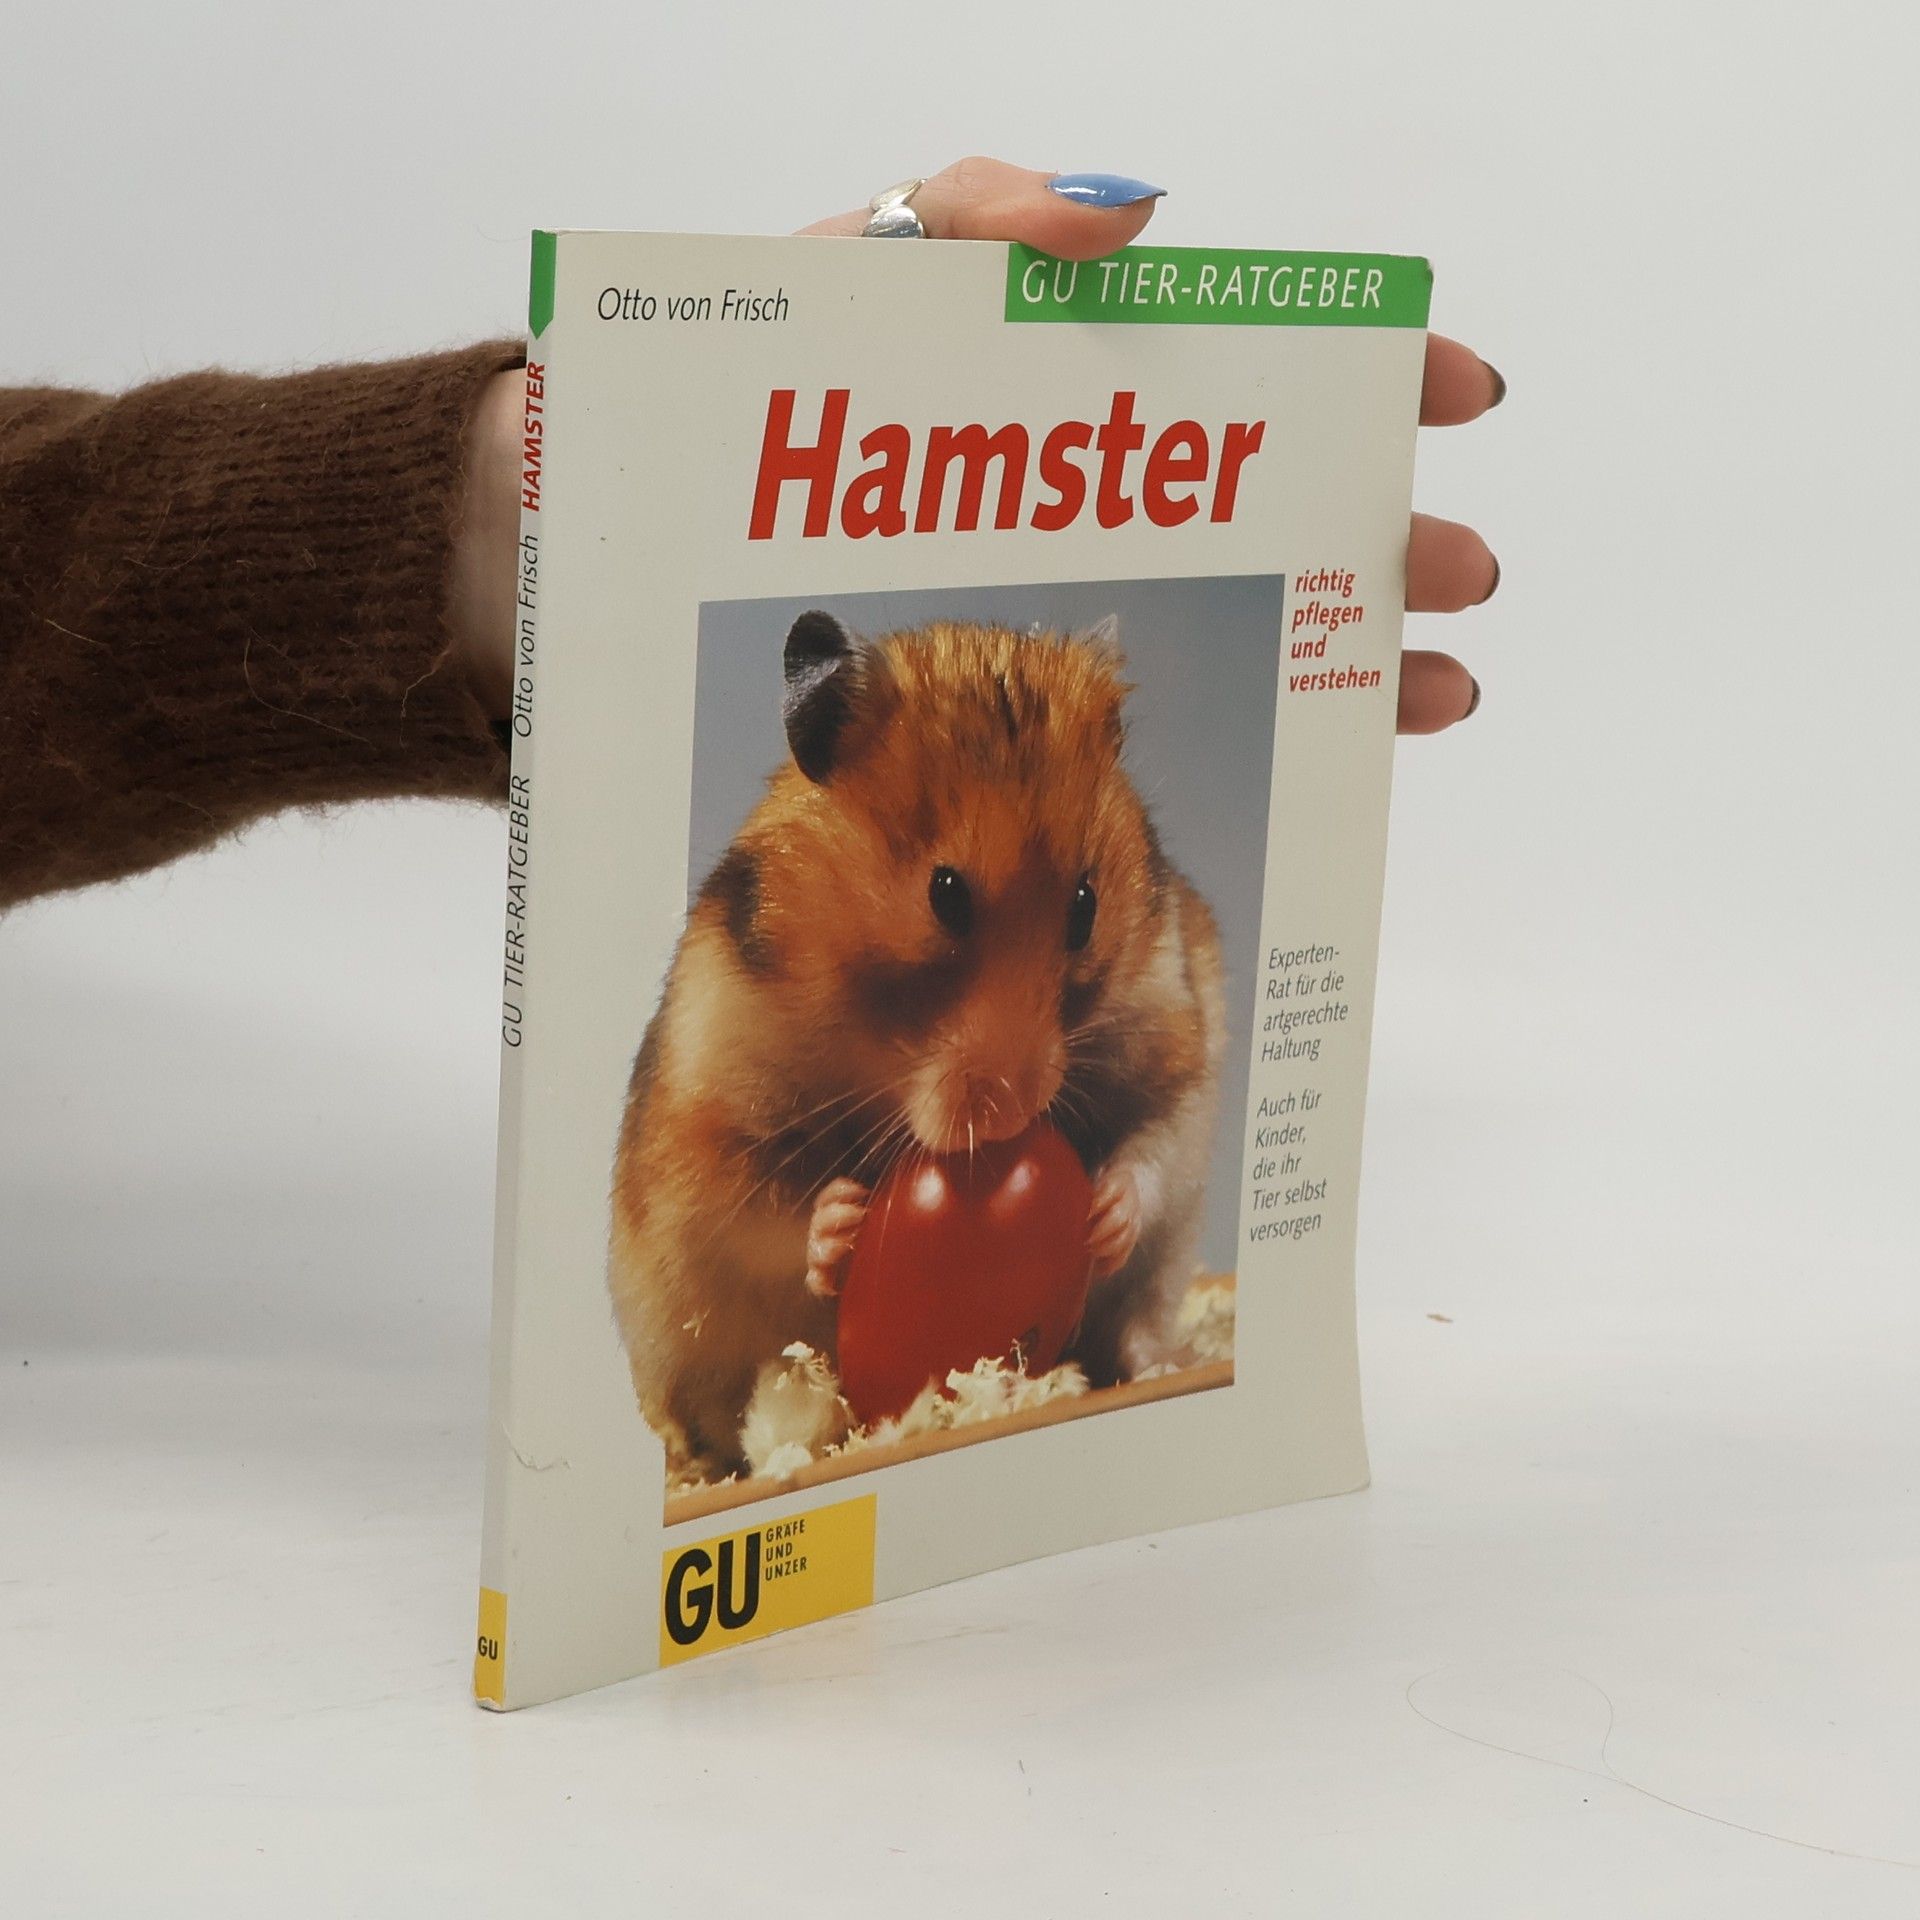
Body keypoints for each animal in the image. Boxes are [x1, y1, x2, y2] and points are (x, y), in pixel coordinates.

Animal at [608, 612, 1226, 1478]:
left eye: (1085, 905)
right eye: (946, 895)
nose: (1010, 1119)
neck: (876, 1049)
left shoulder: (1175, 1031)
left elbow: (1153, 1147)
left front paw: (1101, 1213)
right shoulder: (704, 1126)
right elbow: (763, 1209)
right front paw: (840, 1222)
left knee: (1137, 1321)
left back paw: (1162, 1364)